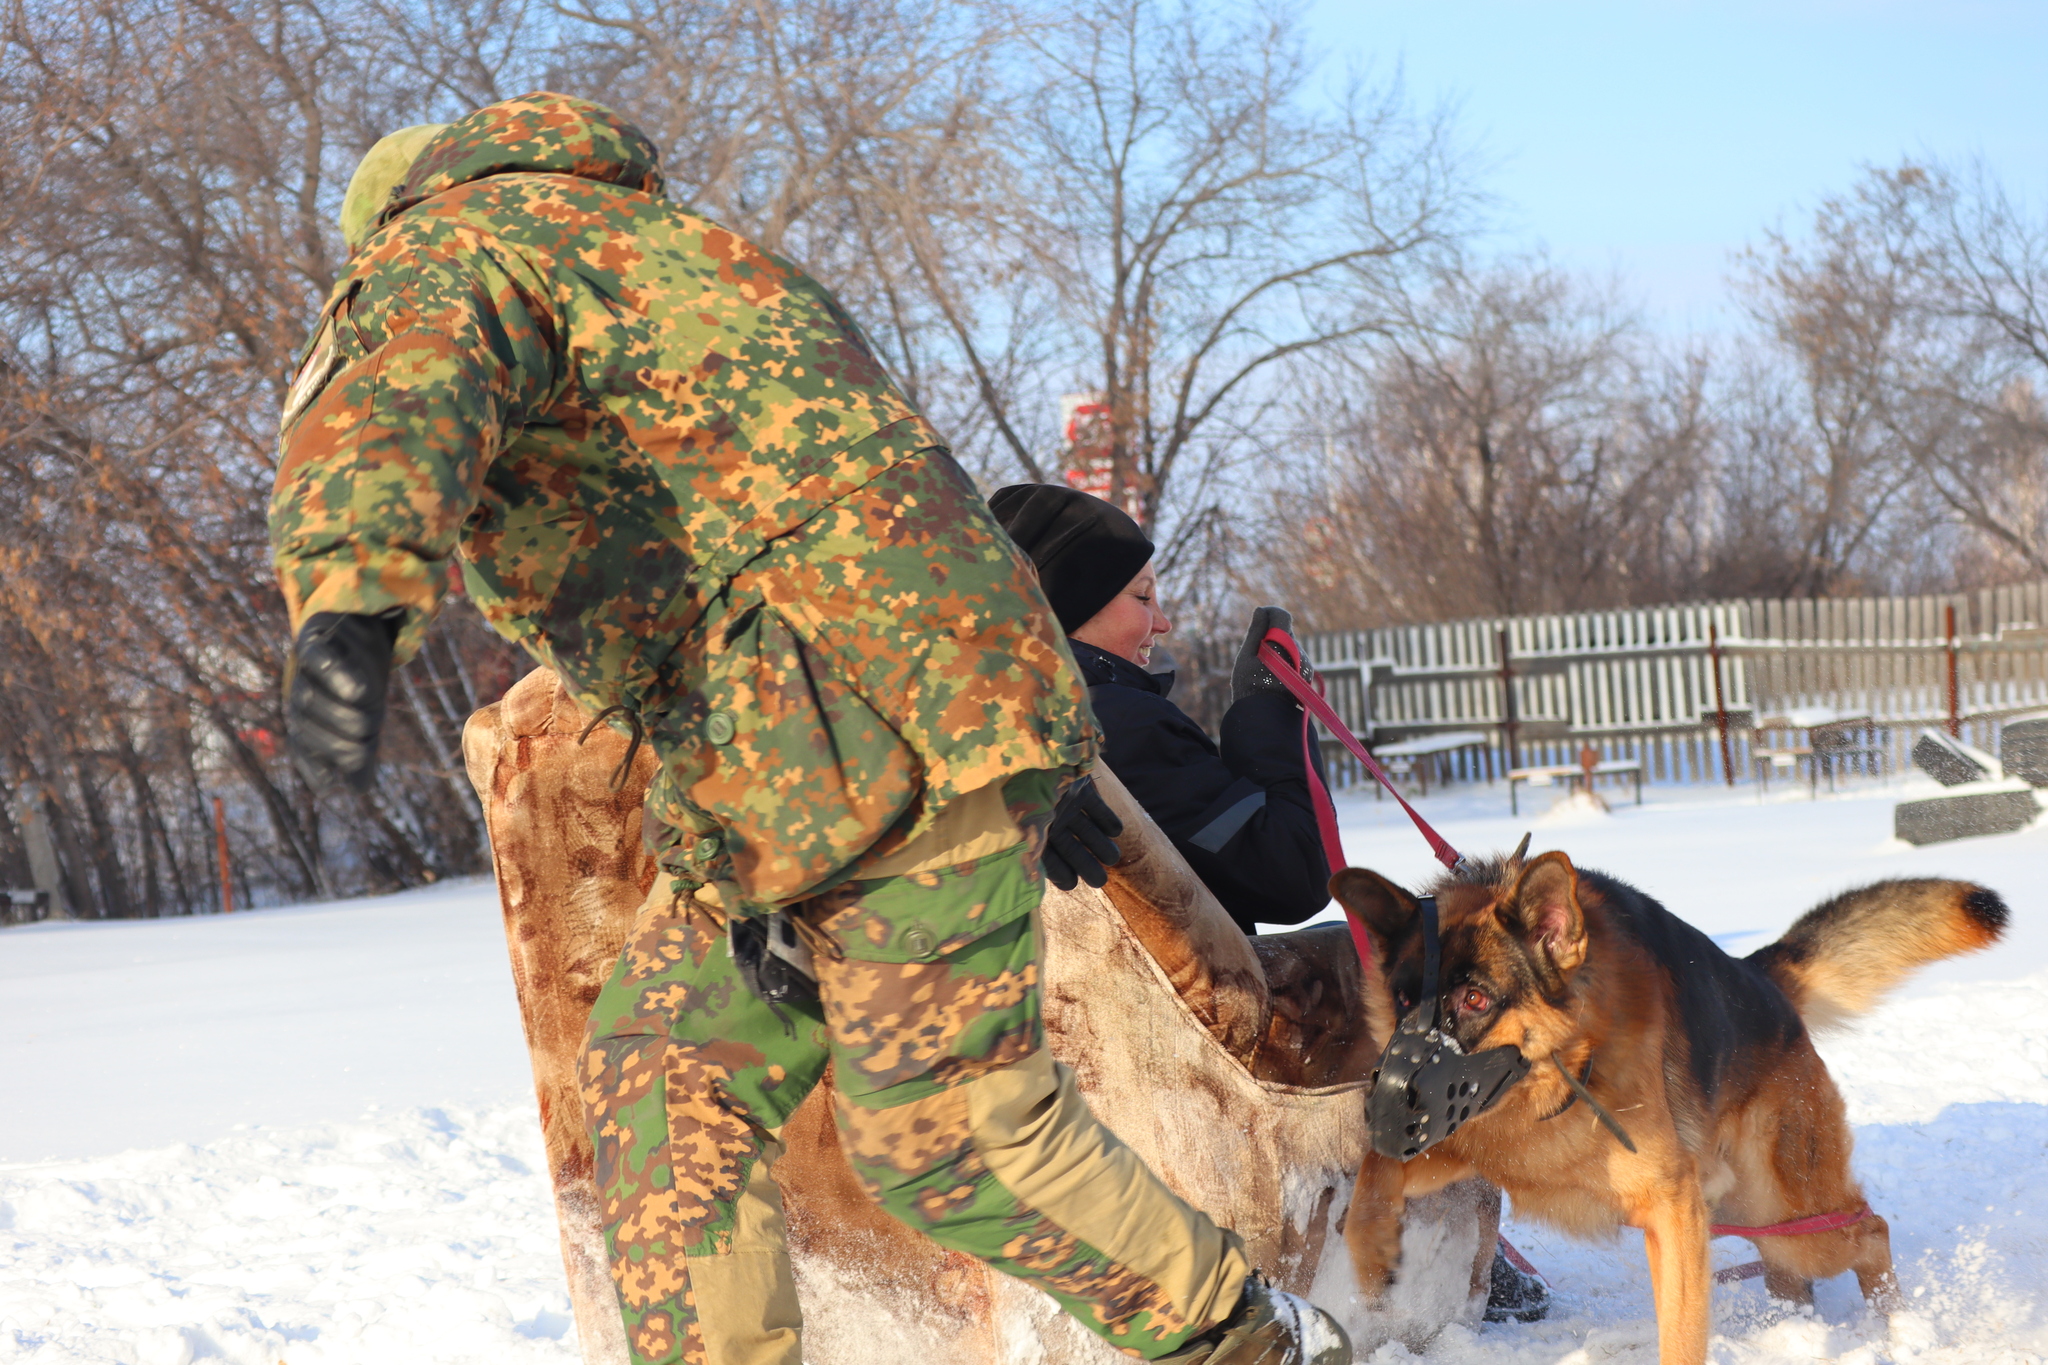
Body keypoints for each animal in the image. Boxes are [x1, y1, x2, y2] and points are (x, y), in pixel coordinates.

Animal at [1335, 847, 2007, 1358]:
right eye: (1402, 1000)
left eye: (1474, 999)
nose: (1385, 1105)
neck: (1568, 1071)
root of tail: (1761, 977)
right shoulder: (1467, 1149)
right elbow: (1373, 1177)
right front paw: (1373, 1259)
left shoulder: (1672, 1209)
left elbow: (1682, 1334)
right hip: (1747, 1208)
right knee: (1787, 1268)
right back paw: (1791, 1331)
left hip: (1787, 1208)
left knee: (1868, 1230)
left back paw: (1895, 1327)